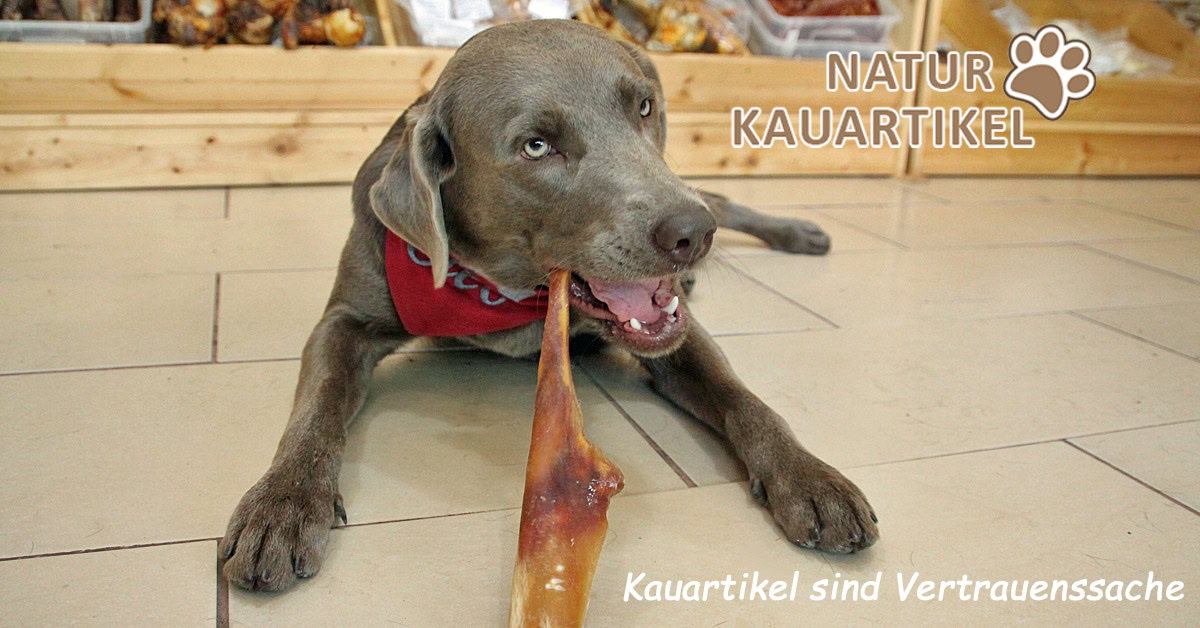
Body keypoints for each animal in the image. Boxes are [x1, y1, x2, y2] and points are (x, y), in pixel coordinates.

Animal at [219, 19, 877, 593]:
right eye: (537, 147)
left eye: (643, 108)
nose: (692, 235)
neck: (501, 291)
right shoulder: (343, 322)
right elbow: (317, 407)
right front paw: (280, 506)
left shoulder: (677, 336)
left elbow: (746, 401)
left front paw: (812, 478)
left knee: (718, 195)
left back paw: (799, 233)